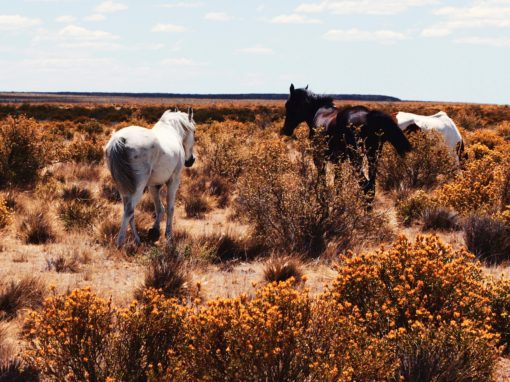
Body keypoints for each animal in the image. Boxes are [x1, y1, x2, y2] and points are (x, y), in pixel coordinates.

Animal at [104, 109, 195, 246]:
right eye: (194, 131)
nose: (191, 161)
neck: (173, 131)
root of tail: (119, 139)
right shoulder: (174, 181)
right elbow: (170, 208)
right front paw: (168, 235)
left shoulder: (154, 185)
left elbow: (159, 208)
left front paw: (155, 230)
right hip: (138, 188)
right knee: (129, 211)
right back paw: (120, 243)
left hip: (123, 188)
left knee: (129, 211)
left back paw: (137, 239)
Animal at [280, 84, 412, 198]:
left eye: (288, 104)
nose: (286, 130)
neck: (317, 112)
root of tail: (369, 115)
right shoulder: (337, 160)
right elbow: (338, 181)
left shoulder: (319, 157)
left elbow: (323, 177)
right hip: (373, 156)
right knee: (371, 186)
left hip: (356, 158)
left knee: (365, 186)